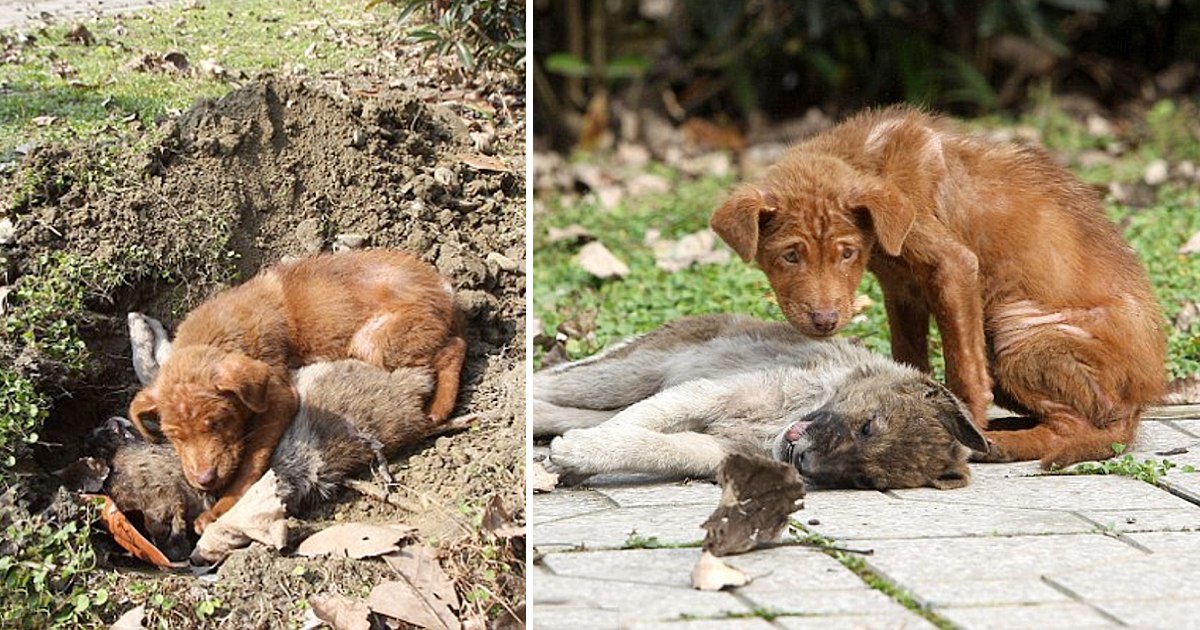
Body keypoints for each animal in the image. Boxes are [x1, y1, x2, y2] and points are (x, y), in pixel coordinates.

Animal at [130, 248, 463, 528]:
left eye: (220, 422)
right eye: (174, 436)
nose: (205, 480)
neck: (218, 335)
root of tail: (442, 287)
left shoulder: (279, 397)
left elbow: (251, 462)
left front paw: (220, 509)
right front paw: (142, 330)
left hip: (376, 343)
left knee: (453, 348)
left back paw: (440, 407)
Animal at [535, 316, 984, 489]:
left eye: (864, 481)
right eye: (867, 426)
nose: (802, 462)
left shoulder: (717, 448)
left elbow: (659, 447)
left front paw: (577, 459)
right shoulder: (708, 393)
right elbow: (636, 428)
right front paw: (573, 458)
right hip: (625, 374)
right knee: (549, 384)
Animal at [710, 104, 1161, 465]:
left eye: (846, 253)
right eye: (790, 255)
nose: (825, 321)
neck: (871, 160)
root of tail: (1138, 404)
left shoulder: (954, 266)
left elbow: (963, 369)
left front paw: (966, 427)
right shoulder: (901, 290)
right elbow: (909, 357)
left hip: (1018, 330)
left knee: (1074, 425)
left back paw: (1000, 444)